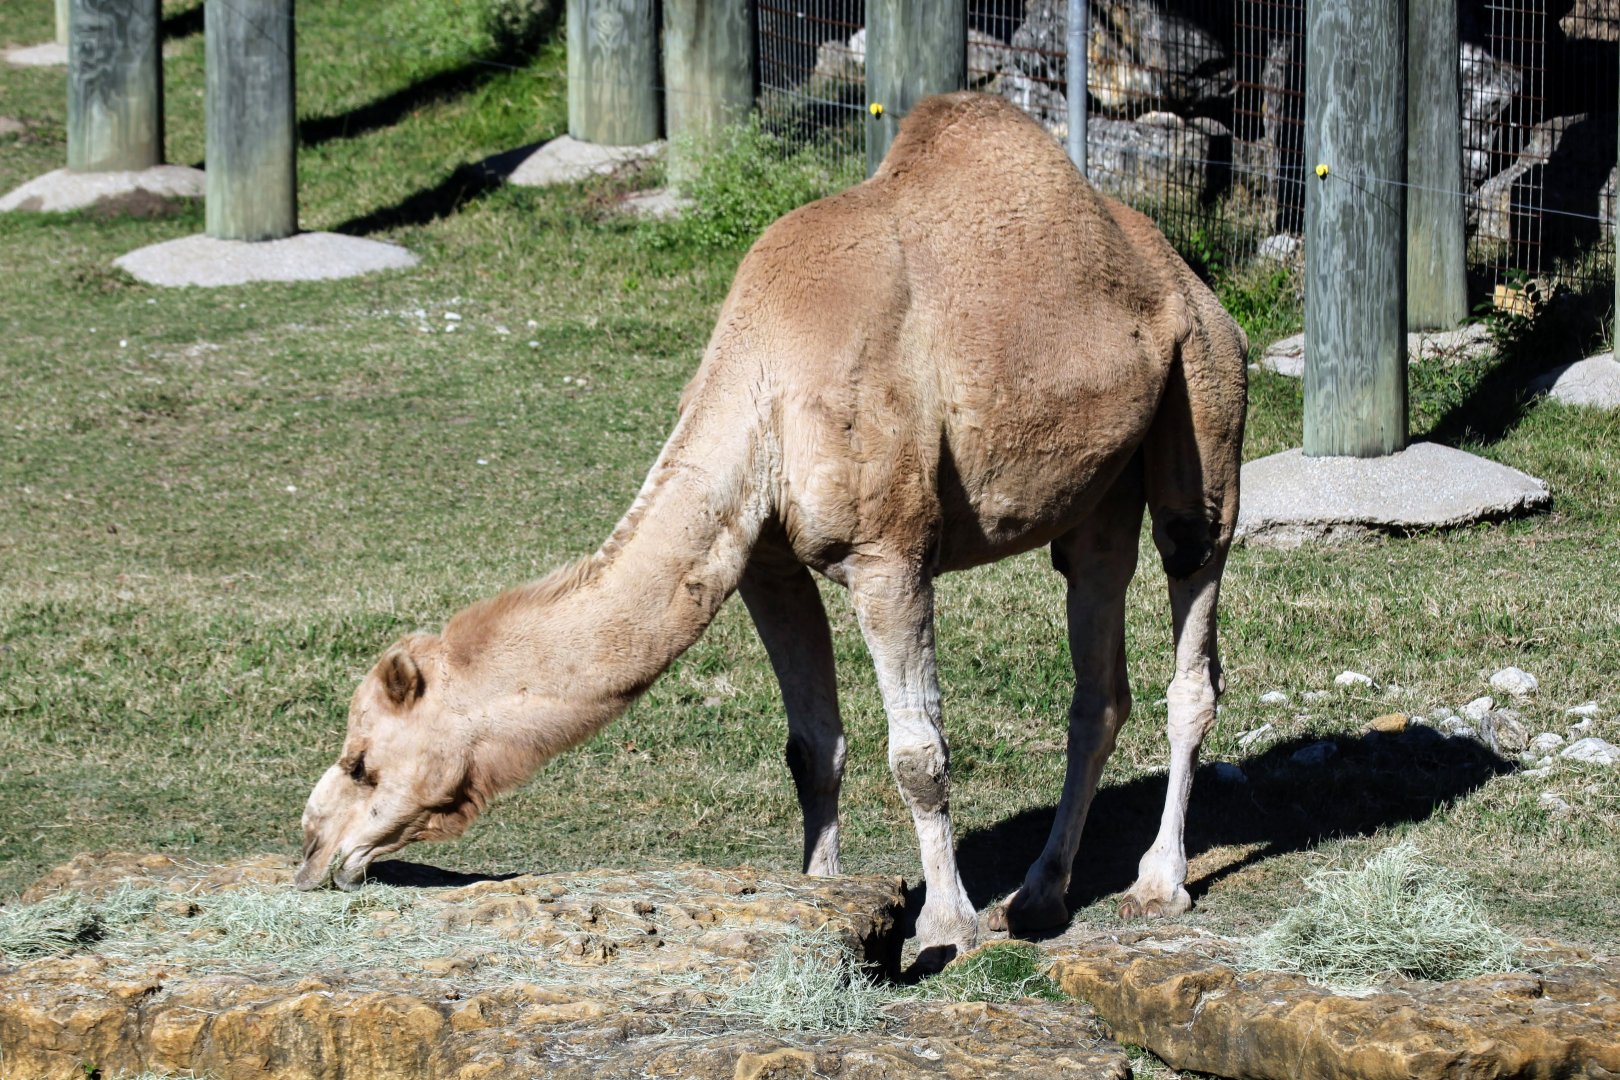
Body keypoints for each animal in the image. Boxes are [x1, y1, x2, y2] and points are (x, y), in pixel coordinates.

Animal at [297, 91, 1247, 962]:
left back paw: (1158, 886)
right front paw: (823, 900)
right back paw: (1041, 896)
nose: (310, 850)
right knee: (1098, 667)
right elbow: (812, 747)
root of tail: (1185, 272)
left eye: (362, 761)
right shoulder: (767, 564)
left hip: (1204, 396)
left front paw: (946, 928)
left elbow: (918, 752)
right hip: (1098, 485)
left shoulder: (890, 553)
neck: (765, 379)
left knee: (1192, 604)